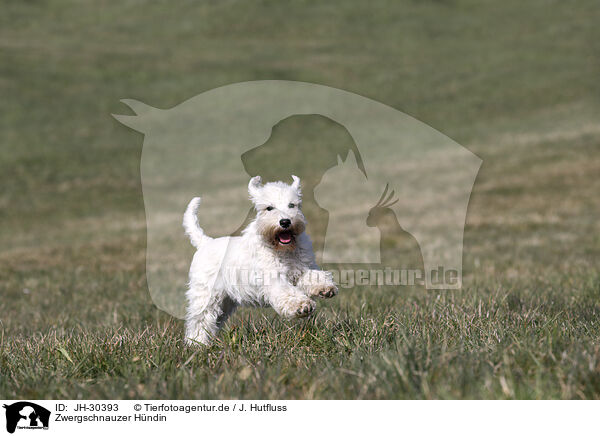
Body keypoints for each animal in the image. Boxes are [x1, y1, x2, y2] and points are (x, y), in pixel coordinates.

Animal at [183, 174, 338, 344]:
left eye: (292, 205)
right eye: (269, 208)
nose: (285, 222)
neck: (283, 250)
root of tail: (205, 242)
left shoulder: (301, 270)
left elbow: (314, 276)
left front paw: (325, 288)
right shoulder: (273, 278)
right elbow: (287, 293)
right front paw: (302, 306)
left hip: (225, 302)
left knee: (212, 322)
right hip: (206, 296)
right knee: (200, 321)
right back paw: (197, 344)